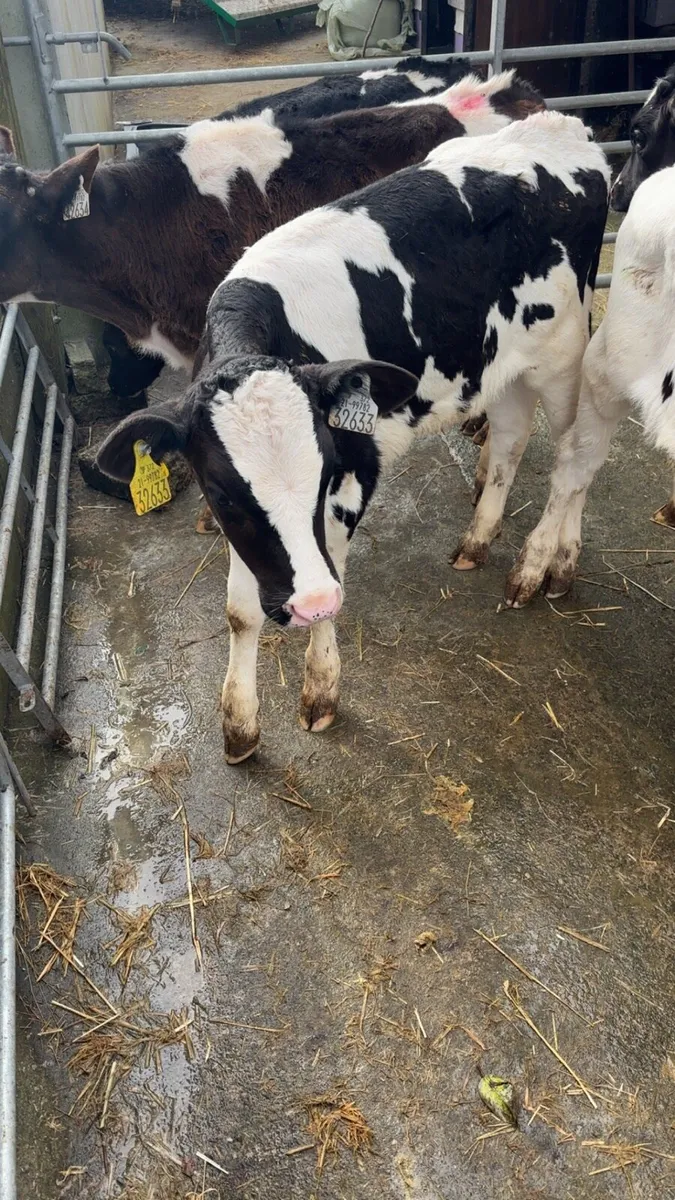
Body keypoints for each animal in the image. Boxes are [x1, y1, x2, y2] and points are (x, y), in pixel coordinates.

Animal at [96, 112, 610, 762]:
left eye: (322, 471)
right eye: (225, 493)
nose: (306, 602)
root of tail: (562, 127)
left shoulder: (353, 476)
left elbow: (332, 573)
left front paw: (320, 692)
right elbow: (240, 610)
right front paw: (239, 724)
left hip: (565, 354)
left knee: (577, 462)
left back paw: (549, 564)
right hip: (502, 366)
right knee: (513, 442)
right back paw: (479, 538)